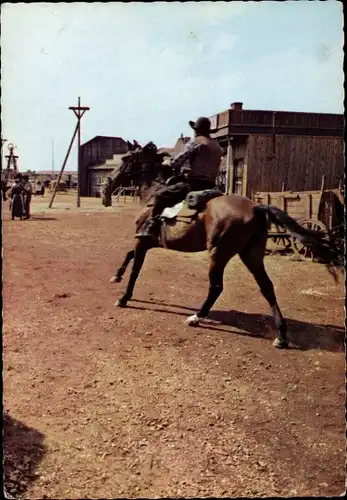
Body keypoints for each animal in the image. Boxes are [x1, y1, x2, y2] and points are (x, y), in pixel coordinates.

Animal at [109, 143, 346, 350]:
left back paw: (197, 317)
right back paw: (281, 336)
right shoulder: (148, 242)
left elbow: (135, 269)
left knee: (216, 287)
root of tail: (257, 207)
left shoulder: (143, 241)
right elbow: (129, 256)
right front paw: (116, 276)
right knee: (267, 287)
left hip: (219, 254)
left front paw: (124, 297)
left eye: (127, 159)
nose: (110, 180)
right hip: (251, 255)